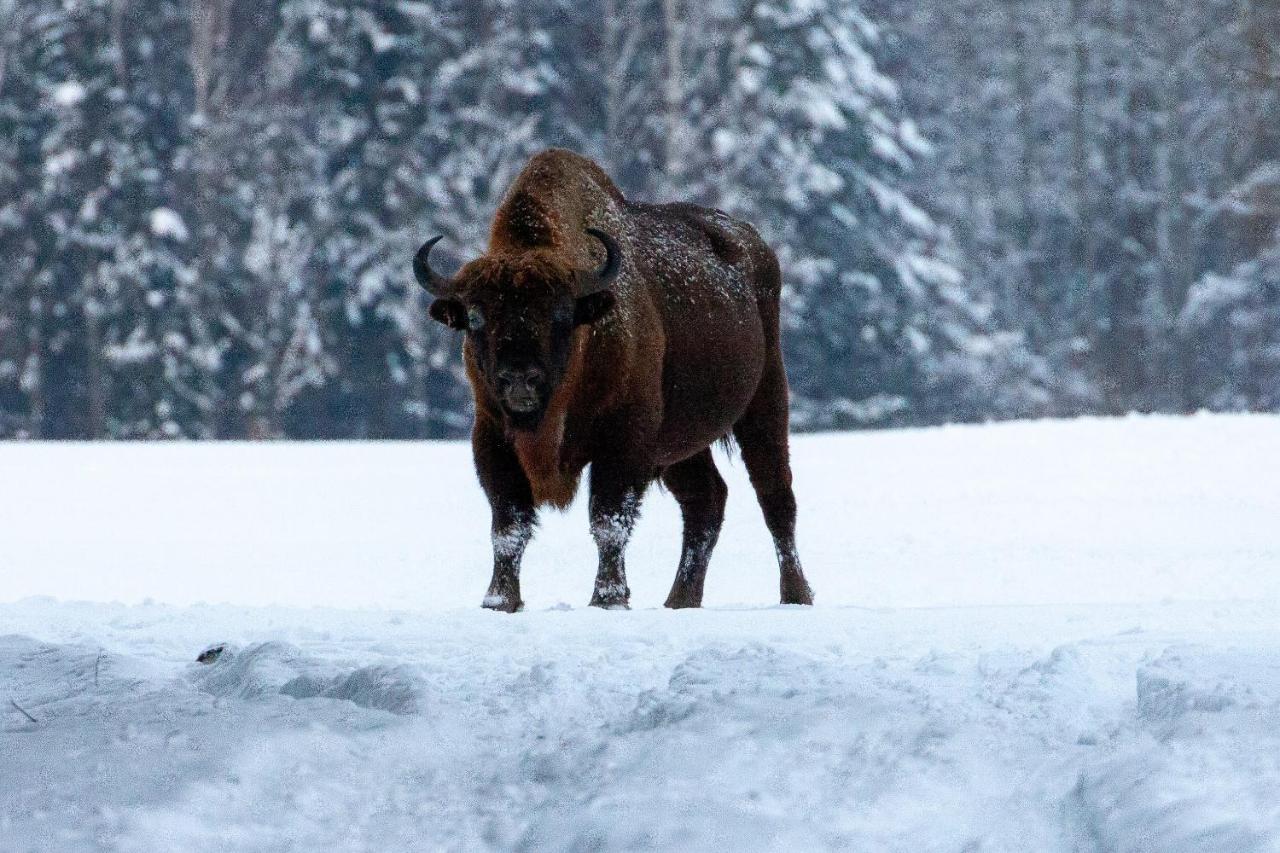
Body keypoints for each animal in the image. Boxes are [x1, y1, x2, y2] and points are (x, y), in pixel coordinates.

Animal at [419, 147, 819, 612]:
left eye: (561, 316)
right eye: (476, 319)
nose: (519, 380)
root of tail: (756, 247)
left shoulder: (625, 440)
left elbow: (608, 520)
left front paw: (607, 598)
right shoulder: (492, 438)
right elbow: (509, 525)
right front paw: (499, 601)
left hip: (765, 402)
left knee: (775, 497)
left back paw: (795, 595)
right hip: (678, 445)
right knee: (706, 499)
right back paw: (679, 600)